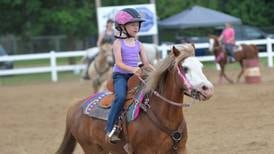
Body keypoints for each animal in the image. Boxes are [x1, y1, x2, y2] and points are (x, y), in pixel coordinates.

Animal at [55, 43, 214, 154]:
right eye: (185, 68)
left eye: (201, 66)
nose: (208, 89)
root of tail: (76, 104)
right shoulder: (146, 151)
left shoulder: (180, 149)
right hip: (92, 149)